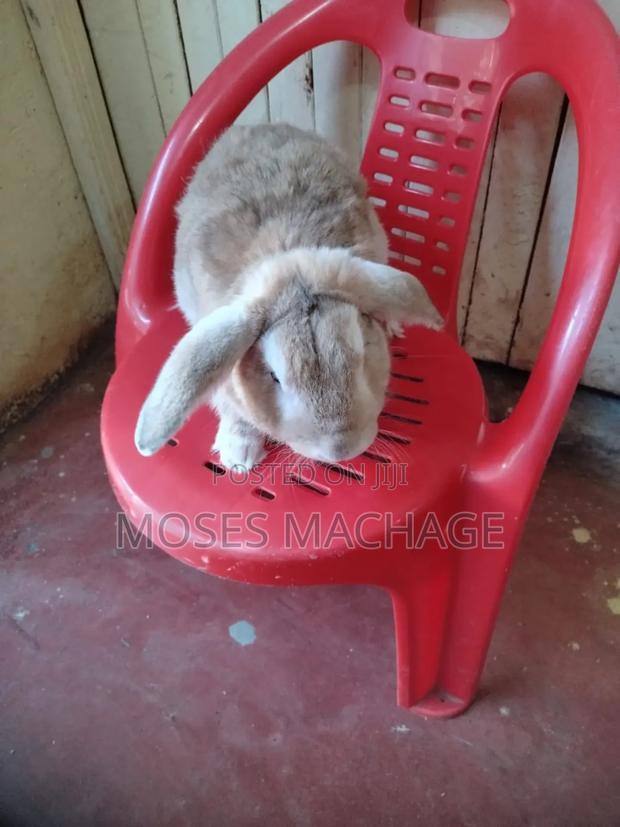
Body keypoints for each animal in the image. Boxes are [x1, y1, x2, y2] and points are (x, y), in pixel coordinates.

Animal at [135, 123, 443, 470]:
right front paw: (239, 456)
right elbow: (230, 405)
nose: (342, 450)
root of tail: (260, 126)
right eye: (275, 377)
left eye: (363, 354)